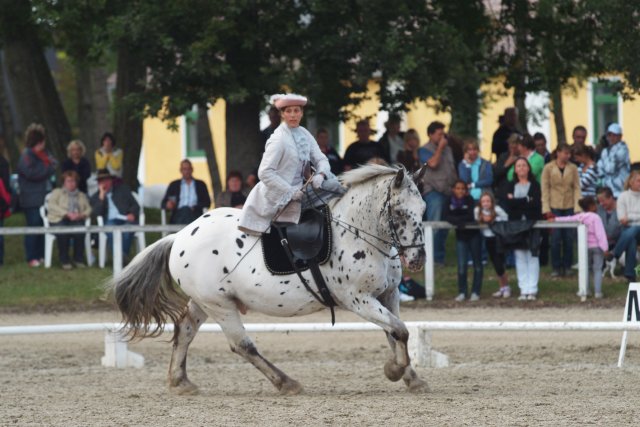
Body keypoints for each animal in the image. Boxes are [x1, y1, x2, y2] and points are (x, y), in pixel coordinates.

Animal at [110, 163, 430, 394]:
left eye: (423, 209)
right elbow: (399, 331)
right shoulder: (358, 299)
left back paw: (180, 382)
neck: (356, 231)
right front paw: (394, 371)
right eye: (399, 212)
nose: (417, 259)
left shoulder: (387, 295)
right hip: (220, 305)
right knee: (242, 345)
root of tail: (179, 236)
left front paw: (412, 378)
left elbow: (395, 332)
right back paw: (286, 383)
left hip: (204, 302)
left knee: (185, 330)